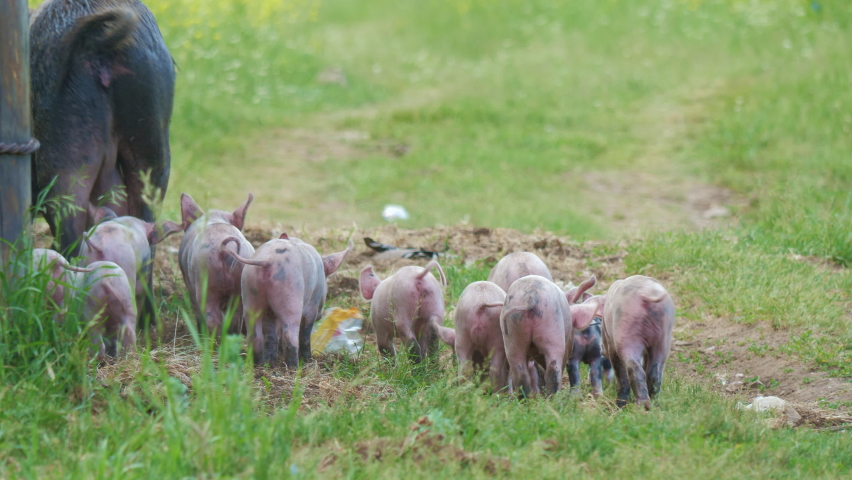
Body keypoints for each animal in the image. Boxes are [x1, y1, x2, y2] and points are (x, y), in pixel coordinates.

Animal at [226, 234, 353, 367]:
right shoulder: (312, 306)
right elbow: (306, 332)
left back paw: (264, 364)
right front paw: (308, 359)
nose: (320, 316)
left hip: (249, 291)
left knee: (256, 334)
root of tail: (267, 261)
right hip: (290, 295)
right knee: (290, 334)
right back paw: (294, 367)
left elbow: (271, 332)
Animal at [600, 275, 676, 409]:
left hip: (627, 334)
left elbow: (620, 372)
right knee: (654, 372)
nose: (601, 349)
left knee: (635, 369)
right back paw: (655, 405)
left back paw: (640, 406)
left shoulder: (612, 345)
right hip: (664, 336)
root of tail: (648, 293)